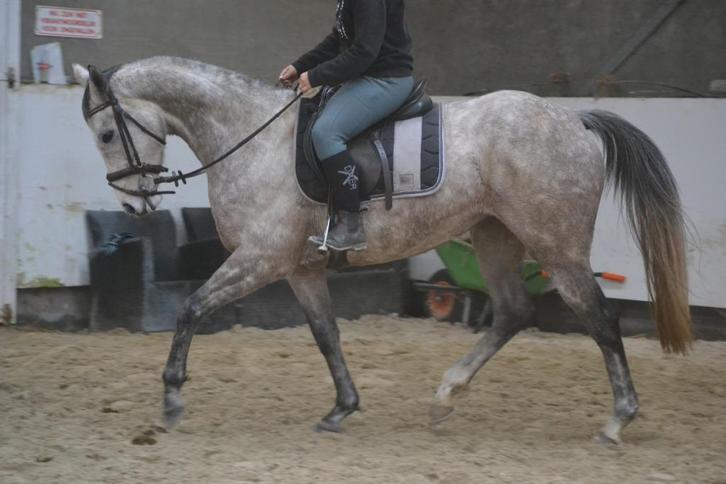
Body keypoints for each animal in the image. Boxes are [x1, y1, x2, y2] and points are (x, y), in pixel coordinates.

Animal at [72, 56, 691, 444]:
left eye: (105, 135)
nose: (131, 206)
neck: (251, 138)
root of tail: (576, 119)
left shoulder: (261, 258)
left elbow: (191, 308)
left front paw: (173, 398)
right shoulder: (299, 268)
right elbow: (325, 334)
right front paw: (341, 408)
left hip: (557, 247)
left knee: (601, 319)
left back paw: (618, 420)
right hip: (495, 237)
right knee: (514, 312)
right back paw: (446, 395)